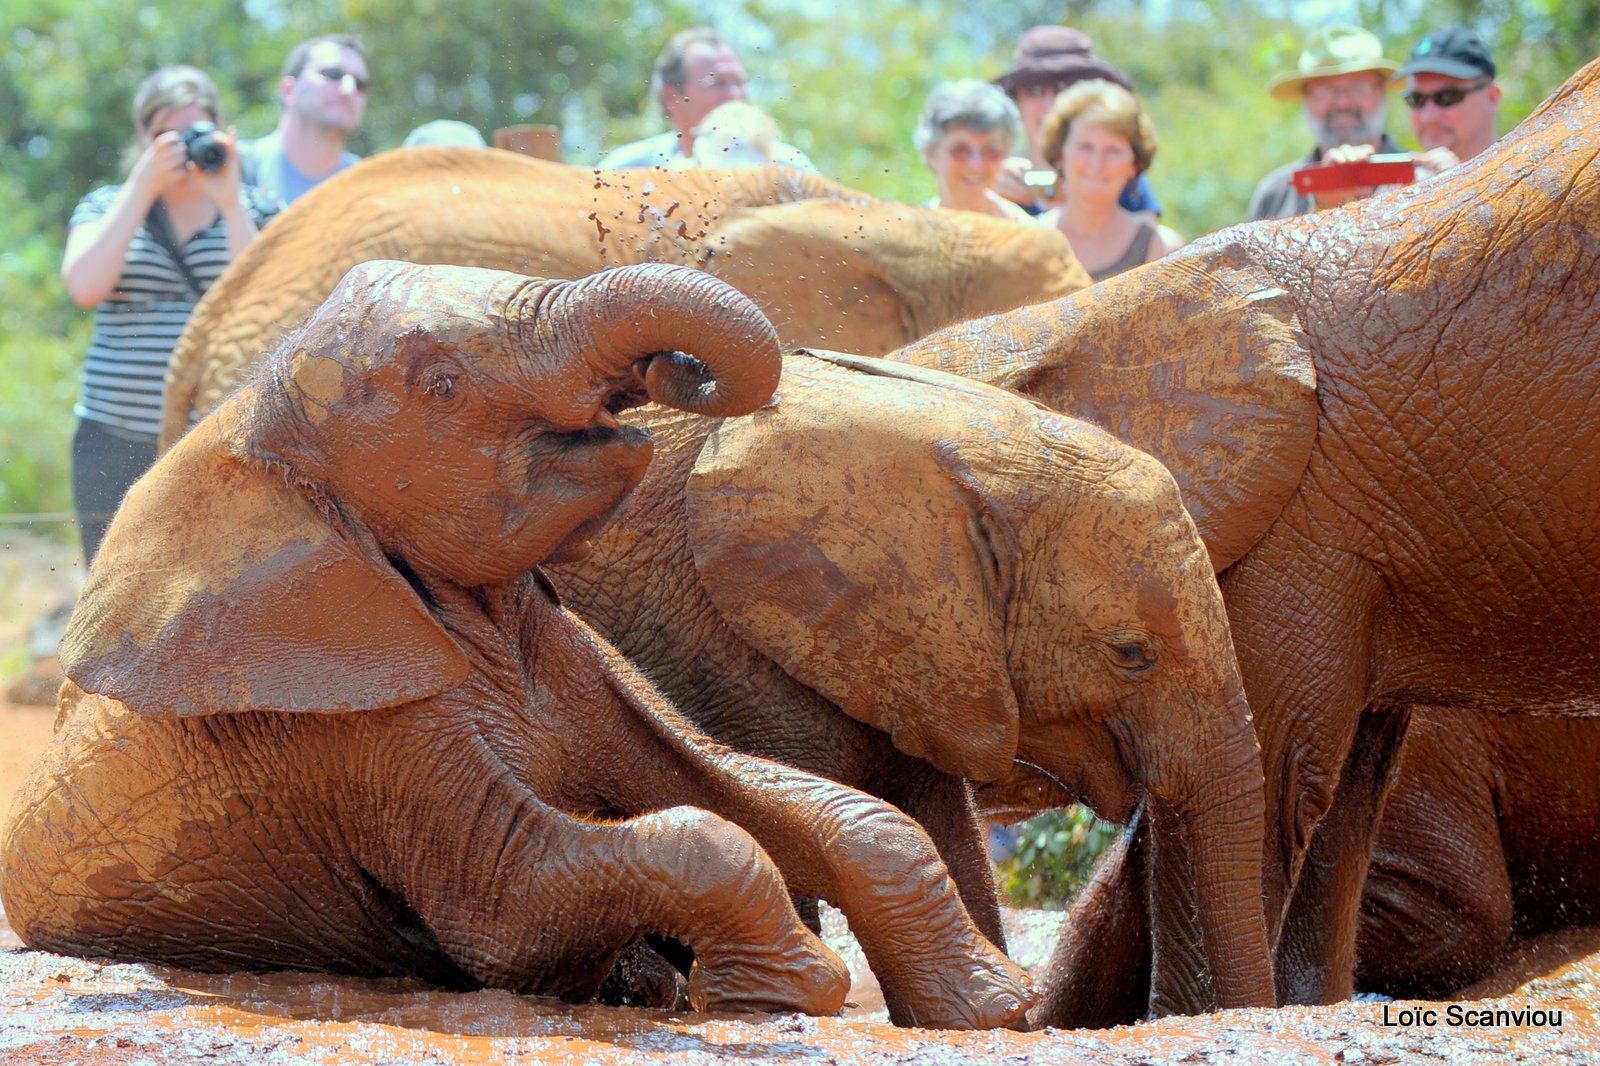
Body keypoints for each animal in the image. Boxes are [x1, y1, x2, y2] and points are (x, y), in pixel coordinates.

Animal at [0, 259, 1024, 1030]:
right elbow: (518, 910)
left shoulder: (574, 657)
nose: (666, 372)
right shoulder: (351, 733)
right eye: (442, 385)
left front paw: (993, 1010)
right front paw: (782, 992)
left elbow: (769, 793)